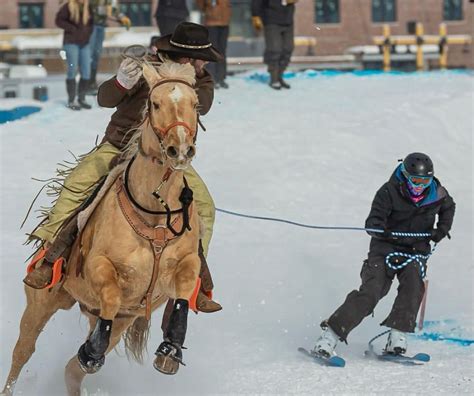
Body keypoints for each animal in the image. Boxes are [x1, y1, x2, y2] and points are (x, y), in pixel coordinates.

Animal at [2, 62, 205, 396]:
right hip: (42, 302)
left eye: (195, 104)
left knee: (72, 370)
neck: (154, 215)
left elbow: (184, 292)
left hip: (120, 321)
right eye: (154, 103)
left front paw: (170, 350)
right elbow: (110, 293)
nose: (180, 150)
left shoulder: (184, 266)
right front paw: (92, 352)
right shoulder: (99, 266)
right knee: (22, 352)